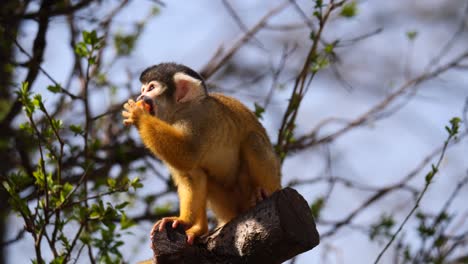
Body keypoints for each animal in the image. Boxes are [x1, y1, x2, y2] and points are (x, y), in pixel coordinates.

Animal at [121, 63, 282, 244]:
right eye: (143, 89)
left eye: (151, 88)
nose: (140, 96)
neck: (182, 110)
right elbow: (190, 174)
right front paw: (182, 221)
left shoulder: (199, 117)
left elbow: (187, 154)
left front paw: (138, 115)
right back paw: (200, 229)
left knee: (253, 141)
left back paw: (263, 193)